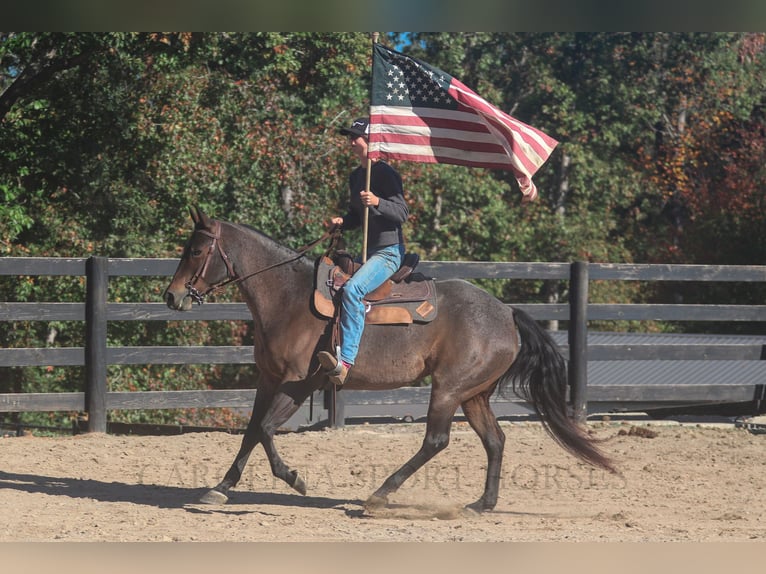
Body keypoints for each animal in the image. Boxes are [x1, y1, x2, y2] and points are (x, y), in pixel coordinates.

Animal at [165, 207, 616, 512]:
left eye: (196, 250)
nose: (172, 296)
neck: (288, 297)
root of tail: (506, 312)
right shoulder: (269, 379)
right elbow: (251, 431)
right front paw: (220, 488)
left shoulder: (302, 381)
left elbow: (266, 429)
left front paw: (295, 479)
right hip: (474, 394)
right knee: (495, 440)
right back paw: (481, 504)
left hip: (449, 388)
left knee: (436, 440)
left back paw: (379, 494)